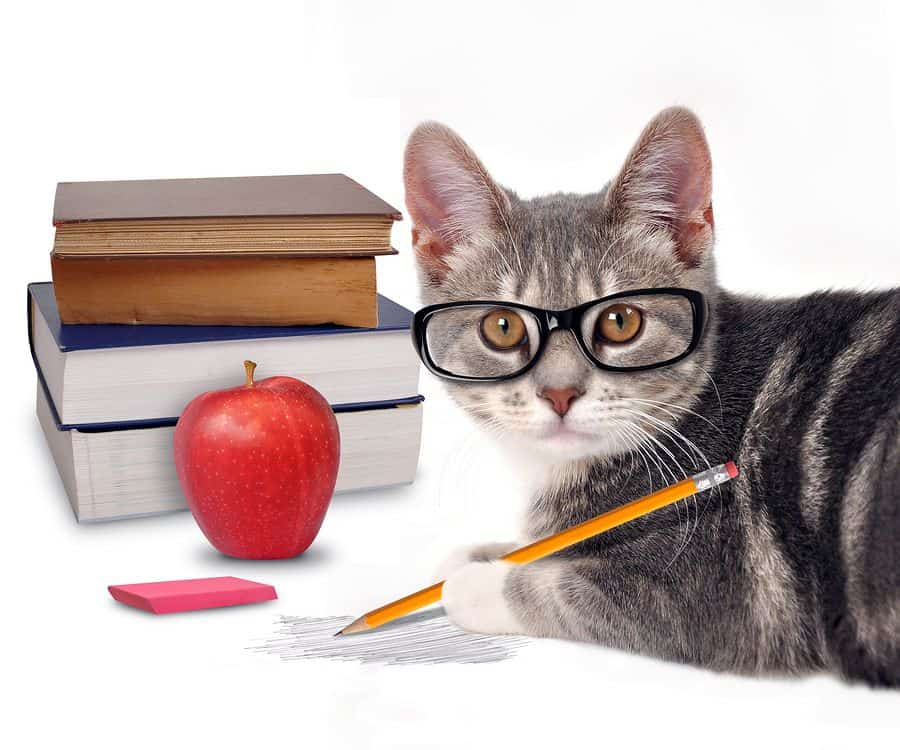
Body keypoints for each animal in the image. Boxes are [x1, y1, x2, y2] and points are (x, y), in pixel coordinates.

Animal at [404, 106, 900, 688]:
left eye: (621, 322)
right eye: (501, 328)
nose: (560, 392)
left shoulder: (734, 600)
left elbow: (566, 588)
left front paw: (475, 582)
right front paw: (484, 554)